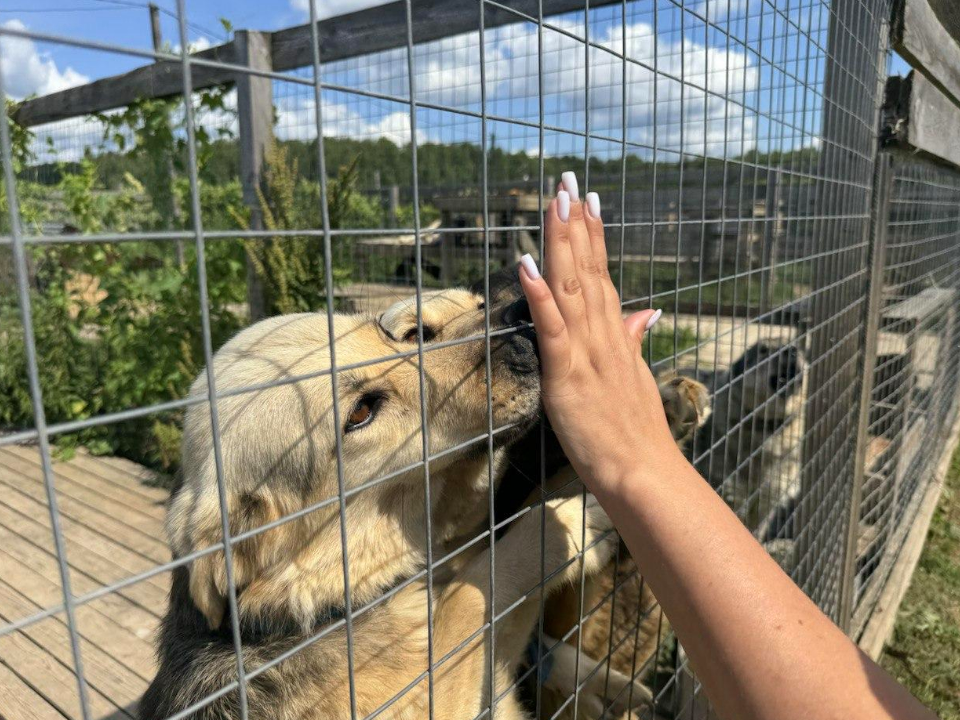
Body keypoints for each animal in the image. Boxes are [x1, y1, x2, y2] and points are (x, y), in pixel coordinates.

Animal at [142, 288, 624, 720]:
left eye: (397, 336)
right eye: (361, 412)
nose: (523, 322)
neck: (333, 603)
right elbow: (472, 591)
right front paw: (569, 525)